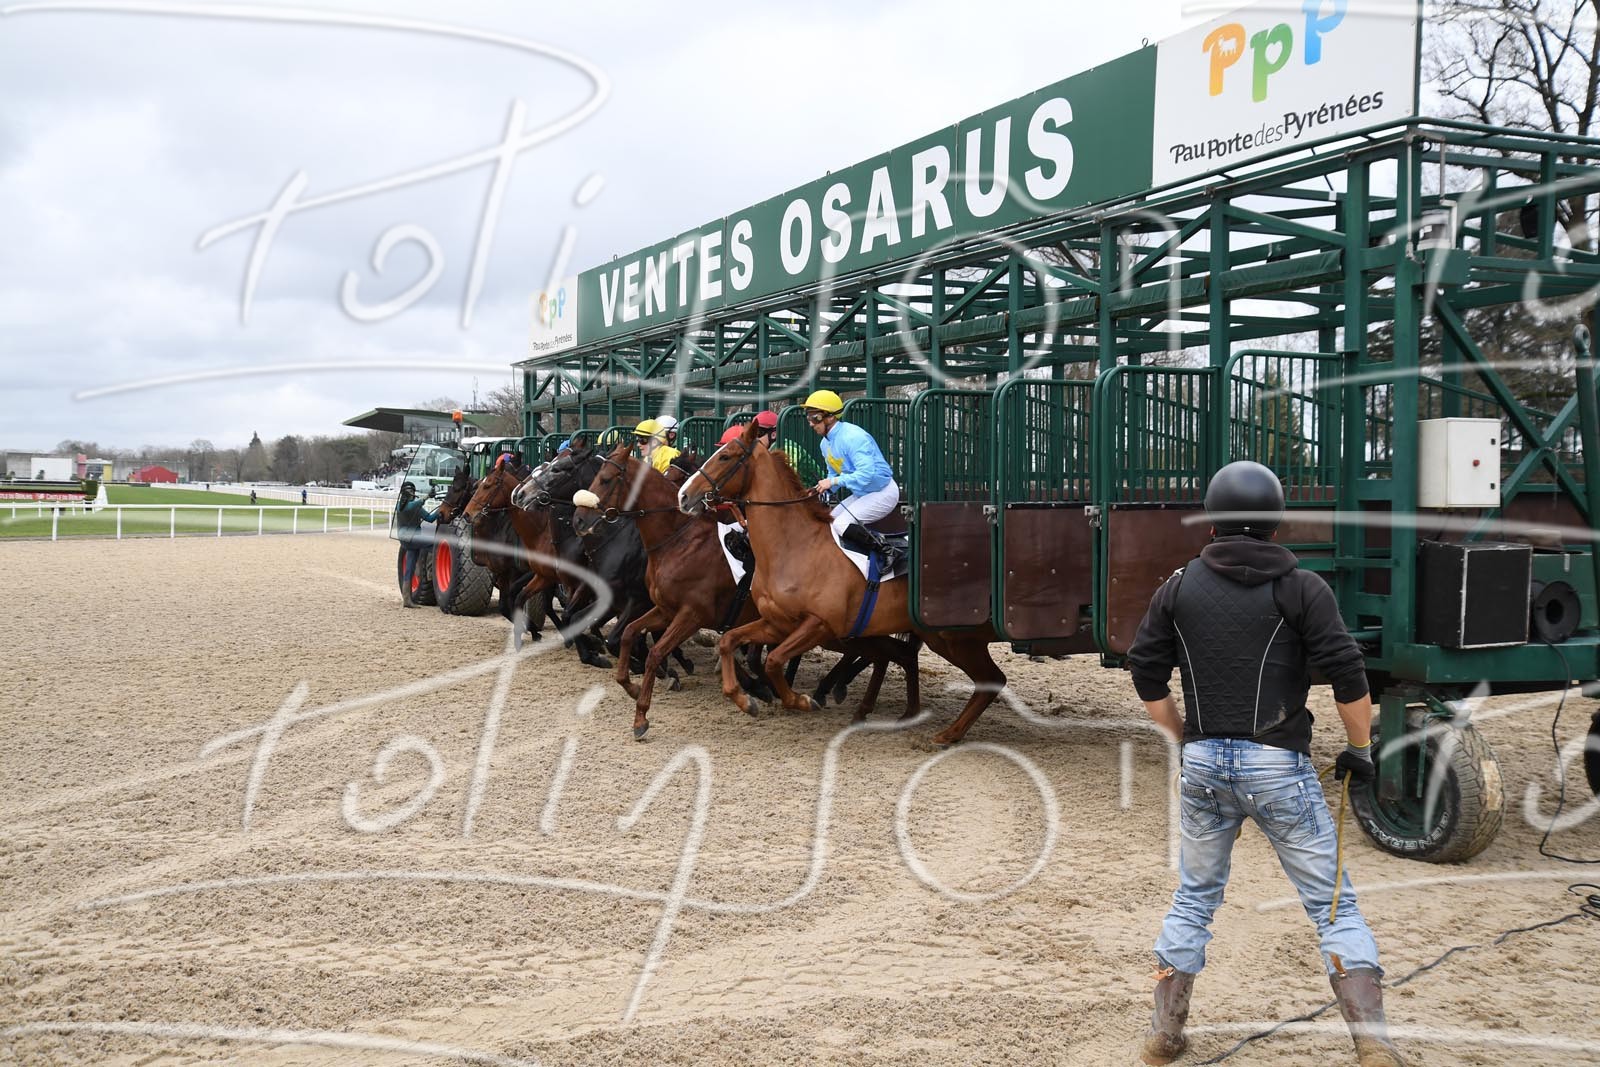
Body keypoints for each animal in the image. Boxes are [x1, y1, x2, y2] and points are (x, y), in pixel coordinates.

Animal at [578, 442, 920, 739]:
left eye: (605, 479)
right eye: (594, 476)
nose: (581, 519)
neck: (678, 541)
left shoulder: (692, 614)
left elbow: (655, 652)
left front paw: (643, 714)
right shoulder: (665, 609)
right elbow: (627, 635)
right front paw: (633, 686)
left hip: (841, 628)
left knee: (886, 653)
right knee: (888, 654)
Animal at [679, 419, 1004, 747]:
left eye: (725, 456)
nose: (684, 495)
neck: (794, 547)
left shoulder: (819, 624)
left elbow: (774, 660)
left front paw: (800, 700)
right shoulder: (776, 622)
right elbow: (729, 642)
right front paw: (744, 699)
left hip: (955, 637)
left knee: (991, 679)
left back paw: (947, 733)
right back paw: (919, 720)